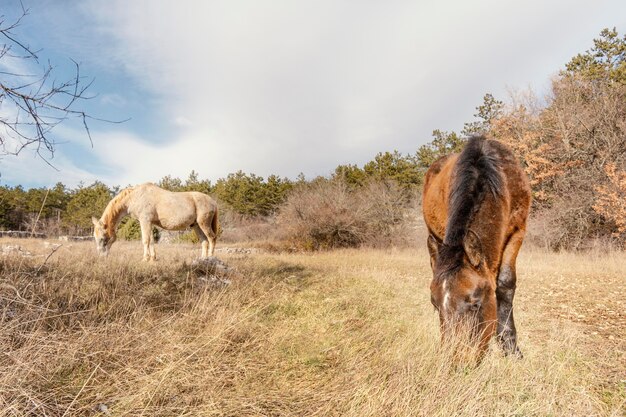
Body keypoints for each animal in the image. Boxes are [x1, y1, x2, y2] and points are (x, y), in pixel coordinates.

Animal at [422, 136, 528, 358]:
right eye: (435, 306)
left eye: (476, 303)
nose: (454, 356)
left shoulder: (518, 231)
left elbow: (505, 283)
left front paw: (510, 346)